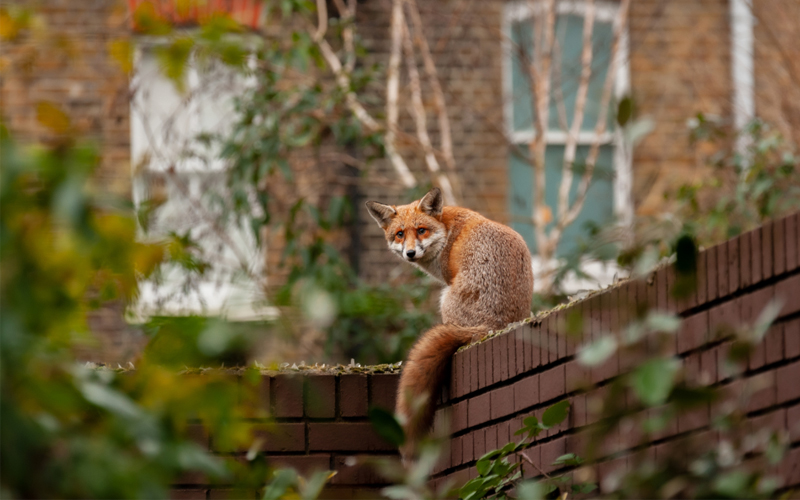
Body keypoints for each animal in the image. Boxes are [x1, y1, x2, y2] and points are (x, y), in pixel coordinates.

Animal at [365, 187, 534, 459]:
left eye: (421, 230)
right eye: (400, 234)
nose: (410, 253)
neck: (446, 230)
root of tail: (495, 325)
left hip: (444, 300)